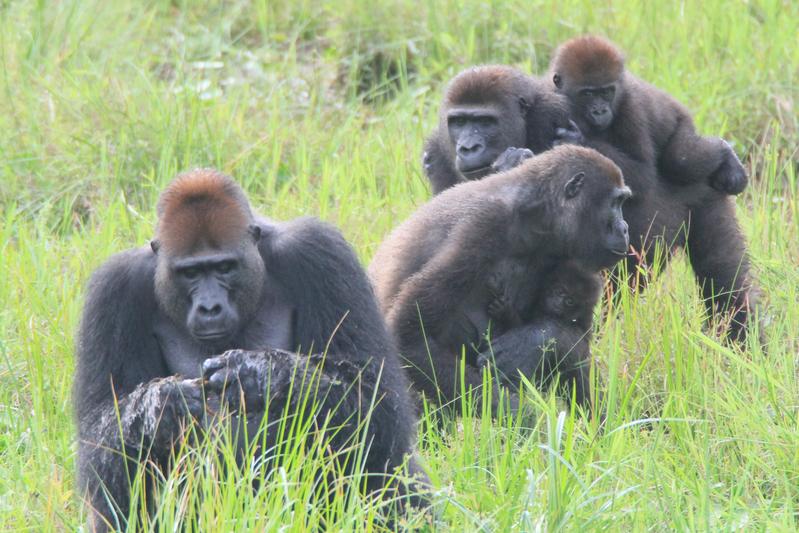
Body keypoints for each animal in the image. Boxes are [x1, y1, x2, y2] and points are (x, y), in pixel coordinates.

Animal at [370, 145, 632, 412]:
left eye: (622, 202)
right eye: (615, 203)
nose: (624, 228)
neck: (536, 213)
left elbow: (575, 332)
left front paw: (534, 340)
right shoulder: (483, 226)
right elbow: (410, 336)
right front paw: (523, 418)